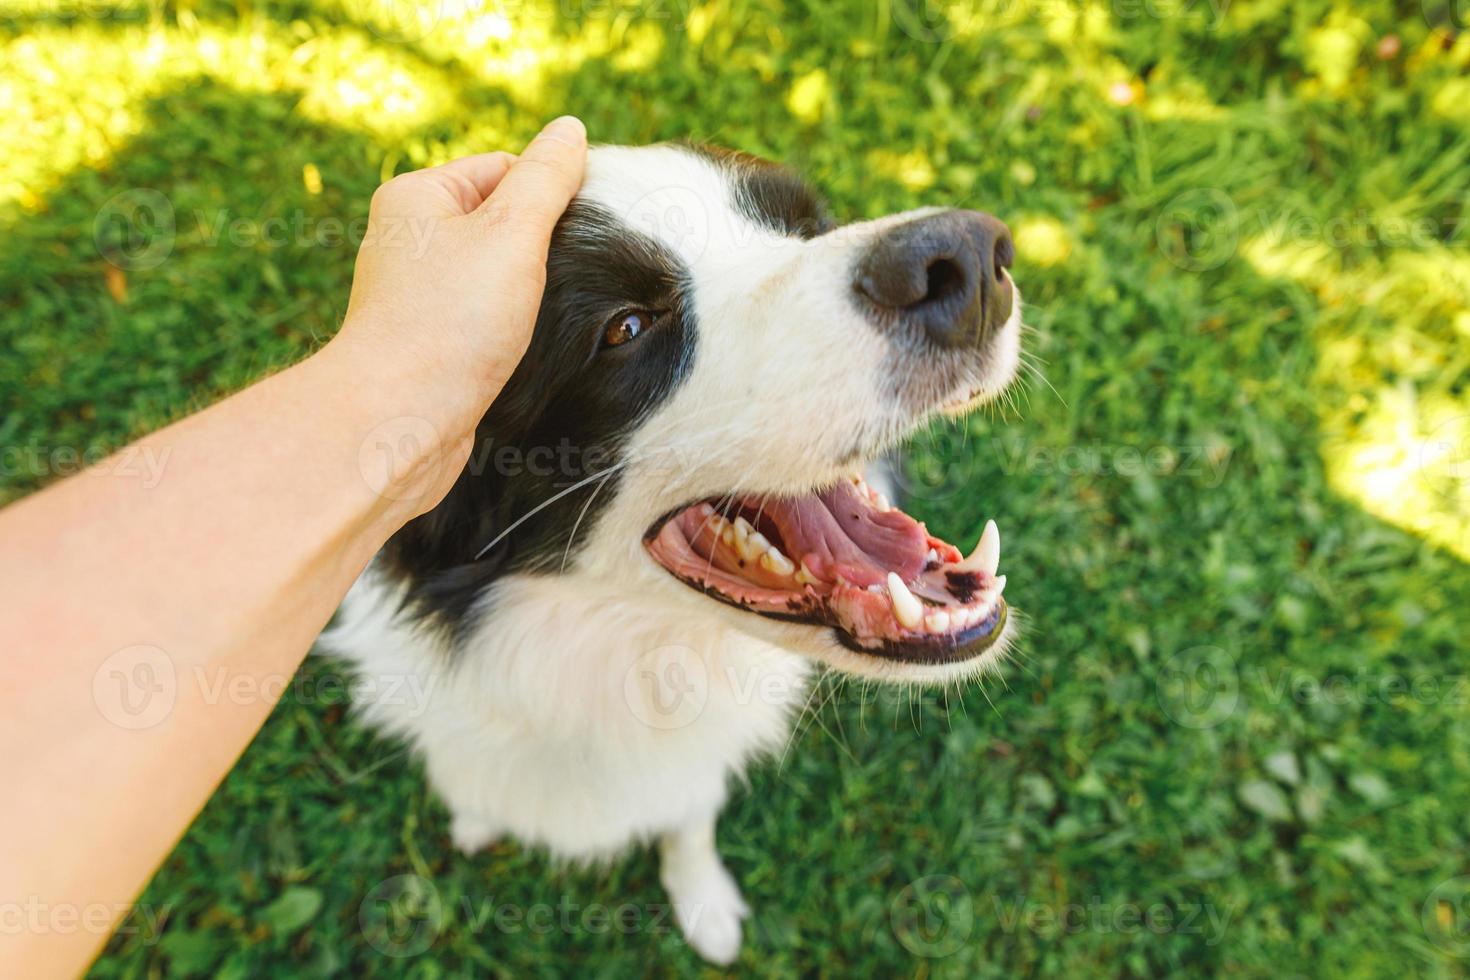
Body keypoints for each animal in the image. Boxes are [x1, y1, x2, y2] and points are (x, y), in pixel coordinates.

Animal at [324, 141, 1023, 963]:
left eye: (806, 228)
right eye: (625, 327)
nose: (966, 256)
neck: (617, 666)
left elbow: (688, 825)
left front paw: (704, 902)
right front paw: (476, 818)